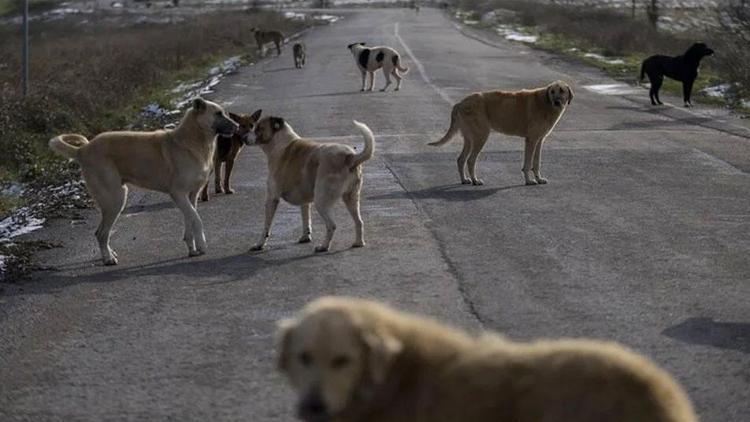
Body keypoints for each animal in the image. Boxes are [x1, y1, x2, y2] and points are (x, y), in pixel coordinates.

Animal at [49, 98, 238, 264]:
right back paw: (108, 259)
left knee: (102, 232)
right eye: (218, 114)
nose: (237, 127)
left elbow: (190, 220)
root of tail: (83, 150)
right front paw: (202, 245)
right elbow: (197, 219)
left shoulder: (191, 196)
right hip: (115, 199)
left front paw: (193, 248)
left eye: (224, 113)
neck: (192, 140)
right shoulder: (178, 194)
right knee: (101, 233)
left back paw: (110, 254)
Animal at [248, 113, 374, 252]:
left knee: (332, 225)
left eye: (259, 128)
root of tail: (349, 156)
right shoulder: (304, 200)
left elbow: (266, 227)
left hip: (321, 201)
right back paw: (358, 242)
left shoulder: (271, 198)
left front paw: (259, 244)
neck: (280, 142)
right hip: (351, 198)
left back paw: (324, 246)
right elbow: (306, 218)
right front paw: (305, 236)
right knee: (359, 222)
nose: (243, 137)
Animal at [432, 81, 572, 186]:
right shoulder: (531, 140)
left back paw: (465, 180)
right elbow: (527, 164)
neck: (545, 103)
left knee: (461, 159)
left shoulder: (539, 140)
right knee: (471, 160)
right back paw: (475, 180)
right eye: (552, 92)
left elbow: (536, 163)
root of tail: (460, 102)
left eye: (561, 90)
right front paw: (528, 181)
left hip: (470, 139)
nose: (556, 102)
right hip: (481, 137)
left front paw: (539, 178)